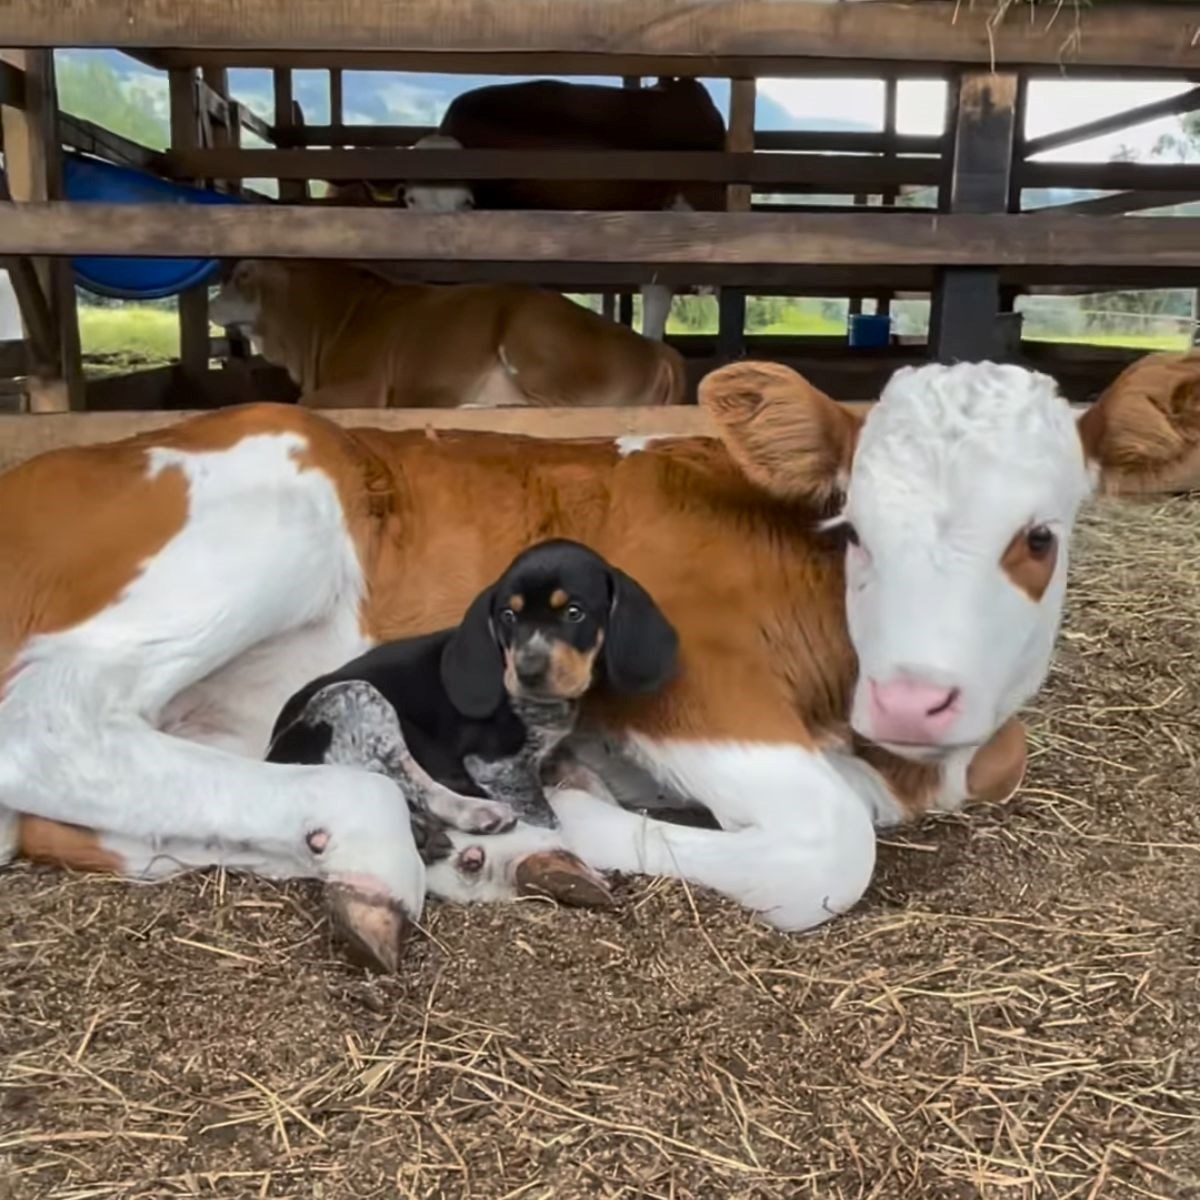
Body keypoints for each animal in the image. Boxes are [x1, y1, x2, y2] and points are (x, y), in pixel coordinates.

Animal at [206, 258, 686, 408]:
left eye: (243, 273)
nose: (210, 301)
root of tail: (653, 347)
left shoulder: (365, 387)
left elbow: (302, 404)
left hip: (534, 339)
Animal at [267, 540, 681, 840]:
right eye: (508, 616)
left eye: (574, 613)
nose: (527, 672)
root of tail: (274, 757)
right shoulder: (498, 768)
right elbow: (550, 820)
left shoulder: (549, 757)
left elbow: (595, 783)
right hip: (356, 697)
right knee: (413, 782)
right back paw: (476, 812)